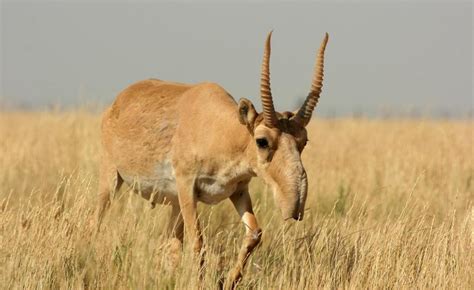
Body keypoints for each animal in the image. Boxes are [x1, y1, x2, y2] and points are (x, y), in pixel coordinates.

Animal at [97, 30, 330, 286]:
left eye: (303, 141)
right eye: (262, 141)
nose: (295, 206)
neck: (221, 131)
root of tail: (118, 102)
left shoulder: (238, 191)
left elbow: (254, 233)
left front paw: (229, 281)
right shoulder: (187, 188)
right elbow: (198, 243)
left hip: (174, 204)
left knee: (170, 245)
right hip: (111, 179)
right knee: (97, 221)